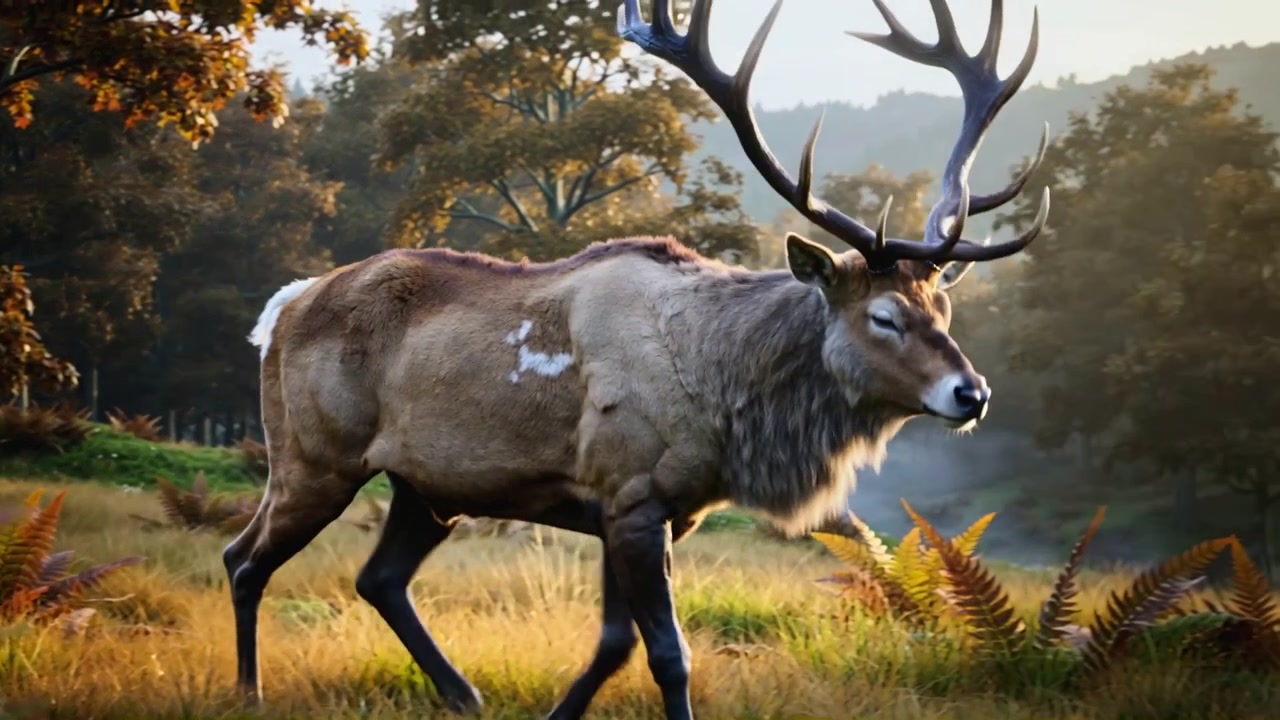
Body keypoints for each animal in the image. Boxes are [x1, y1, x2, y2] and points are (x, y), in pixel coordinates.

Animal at [222, 0, 1050, 718]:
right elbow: (667, 653)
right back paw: (249, 691)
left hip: (426, 487)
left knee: (378, 577)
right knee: (243, 558)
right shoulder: (630, 493)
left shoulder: (643, 509)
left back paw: (464, 694)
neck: (723, 407)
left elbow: (614, 645)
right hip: (311, 456)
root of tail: (283, 307)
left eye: (943, 310)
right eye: (884, 316)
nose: (969, 393)